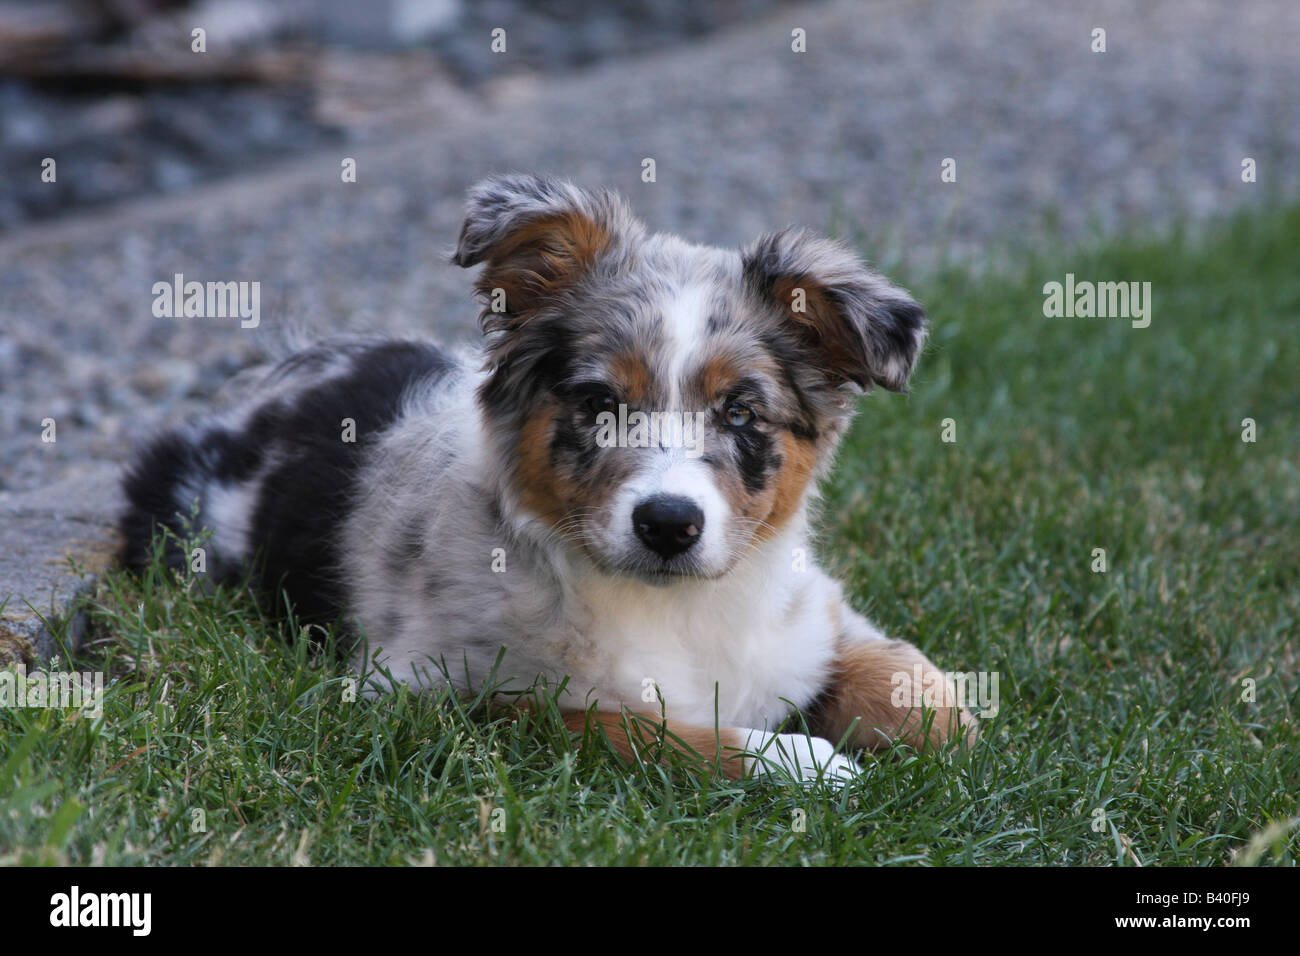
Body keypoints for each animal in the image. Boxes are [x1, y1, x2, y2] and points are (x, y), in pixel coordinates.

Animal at [119, 175, 977, 790]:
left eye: (740, 413)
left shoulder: (815, 616)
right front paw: (799, 760)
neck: (674, 609)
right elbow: (625, 726)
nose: (668, 524)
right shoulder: (429, 693)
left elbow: (909, 682)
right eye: (598, 403)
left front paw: (959, 732)